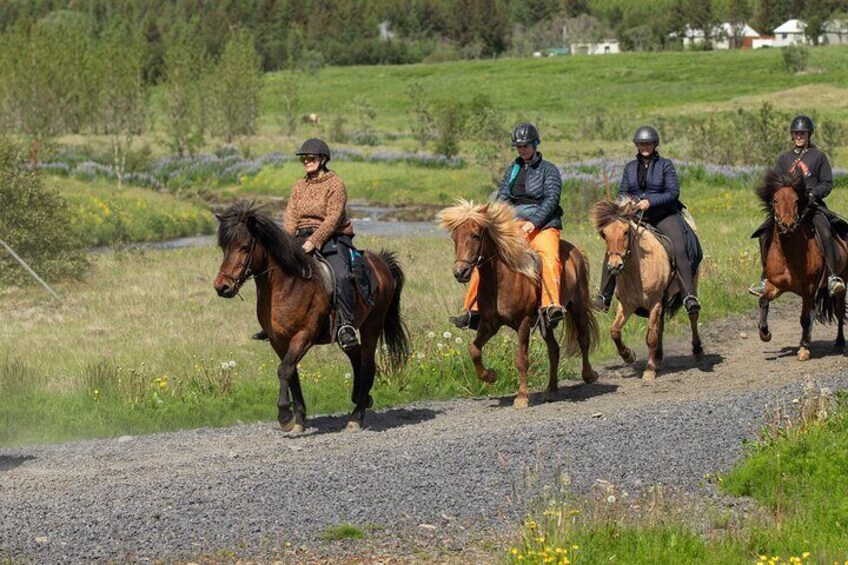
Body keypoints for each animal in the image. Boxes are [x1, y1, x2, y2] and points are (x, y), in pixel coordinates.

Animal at [214, 203, 410, 432]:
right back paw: (360, 397)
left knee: (368, 364)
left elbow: (284, 370)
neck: (288, 285)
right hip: (345, 334)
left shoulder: (304, 335)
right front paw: (298, 418)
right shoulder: (278, 341)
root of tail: (382, 265)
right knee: (357, 355)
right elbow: (291, 373)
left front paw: (285, 416)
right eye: (224, 248)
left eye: (245, 247)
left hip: (372, 324)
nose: (222, 287)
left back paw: (356, 416)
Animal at [440, 198, 600, 406]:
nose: (461, 272)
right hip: (546, 322)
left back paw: (589, 375)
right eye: (454, 237)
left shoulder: (523, 323)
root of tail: (575, 251)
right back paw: (551, 390)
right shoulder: (489, 324)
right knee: (554, 350)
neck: (501, 279)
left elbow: (521, 359)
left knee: (583, 338)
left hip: (577, 307)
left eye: (476, 236)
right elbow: (474, 350)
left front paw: (522, 397)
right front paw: (489, 376)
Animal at [588, 197, 704, 378]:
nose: (614, 266)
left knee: (693, 315)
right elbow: (615, 331)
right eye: (604, 234)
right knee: (660, 326)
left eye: (625, 232)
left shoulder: (654, 303)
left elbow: (650, 337)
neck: (638, 270)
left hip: (691, 285)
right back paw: (658, 356)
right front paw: (628, 355)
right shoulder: (627, 305)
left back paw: (697, 350)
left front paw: (649, 370)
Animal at [752, 170, 844, 360]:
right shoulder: (776, 285)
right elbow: (763, 301)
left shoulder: (807, 289)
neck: (789, 253)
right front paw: (765, 334)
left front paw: (803, 349)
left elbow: (804, 319)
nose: (787, 225)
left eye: (796, 200)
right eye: (775, 200)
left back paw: (839, 343)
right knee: (815, 310)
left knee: (838, 311)